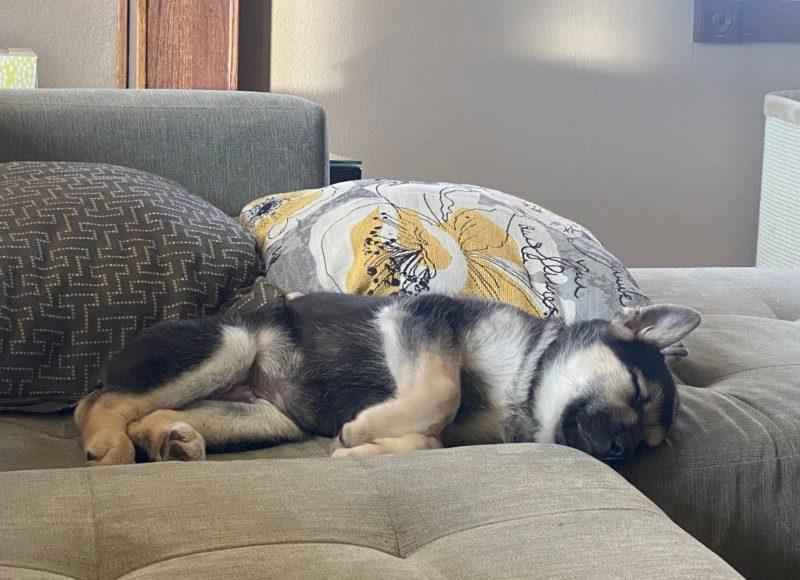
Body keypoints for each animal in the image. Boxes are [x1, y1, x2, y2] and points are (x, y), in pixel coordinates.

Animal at [75, 294, 700, 466]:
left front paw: (363, 449)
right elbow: (443, 393)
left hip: (265, 416)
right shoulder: (420, 319)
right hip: (229, 345)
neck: (524, 383)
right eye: (636, 391)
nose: (619, 452)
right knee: (103, 402)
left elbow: (430, 438)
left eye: (649, 445)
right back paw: (108, 444)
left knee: (146, 412)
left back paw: (170, 440)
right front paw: (360, 433)